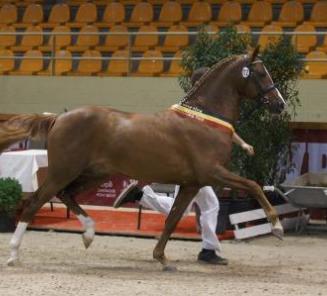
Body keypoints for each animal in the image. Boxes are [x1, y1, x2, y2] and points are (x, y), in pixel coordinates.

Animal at [0, 46, 286, 270]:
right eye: (261, 73)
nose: (280, 104)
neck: (204, 120)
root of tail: (58, 118)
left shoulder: (191, 183)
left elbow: (172, 219)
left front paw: (161, 258)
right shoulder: (212, 173)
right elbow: (253, 185)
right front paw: (277, 227)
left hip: (92, 174)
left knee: (66, 195)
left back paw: (90, 233)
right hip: (63, 171)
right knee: (35, 202)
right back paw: (14, 255)